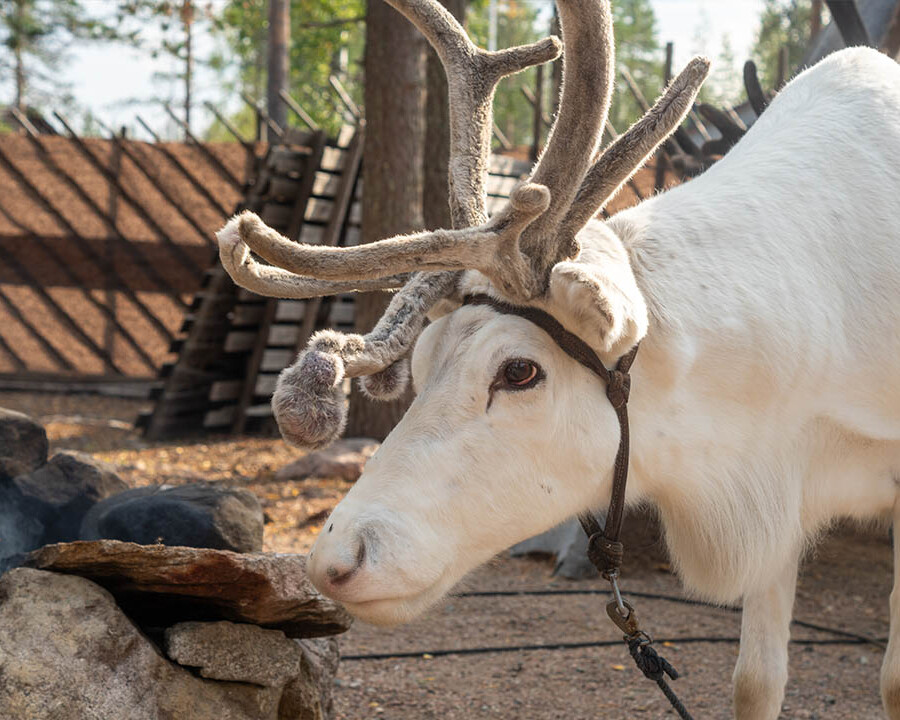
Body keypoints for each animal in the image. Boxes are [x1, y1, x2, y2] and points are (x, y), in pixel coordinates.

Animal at [215, 0, 900, 717]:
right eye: (422, 363)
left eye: (520, 371)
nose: (337, 558)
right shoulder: (778, 498)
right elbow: (756, 681)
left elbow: (891, 677)